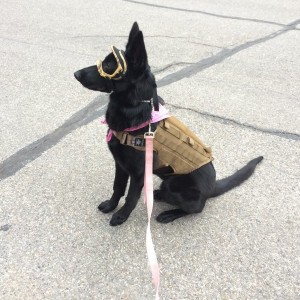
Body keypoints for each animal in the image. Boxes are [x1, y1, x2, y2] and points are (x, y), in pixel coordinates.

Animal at [74, 22, 262, 226]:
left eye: (109, 65)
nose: (76, 73)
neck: (134, 106)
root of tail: (212, 188)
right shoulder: (121, 165)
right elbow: (117, 187)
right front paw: (111, 205)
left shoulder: (139, 174)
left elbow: (131, 197)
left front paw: (121, 216)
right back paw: (158, 195)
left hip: (172, 184)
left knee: (197, 208)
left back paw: (170, 213)